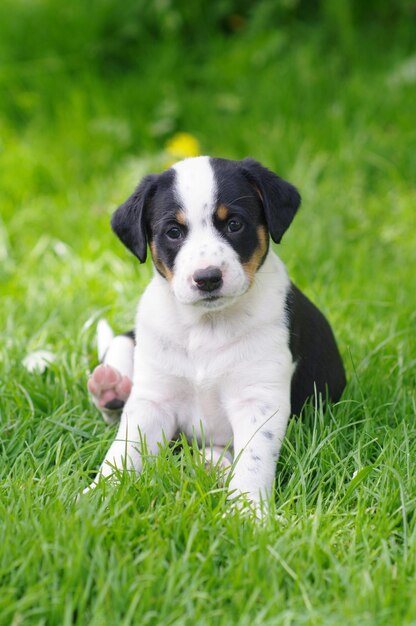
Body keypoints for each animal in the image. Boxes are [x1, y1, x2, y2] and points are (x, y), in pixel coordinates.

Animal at [84, 154, 344, 510]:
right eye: (173, 232)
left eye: (234, 224)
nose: (207, 278)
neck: (206, 326)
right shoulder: (153, 402)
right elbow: (122, 454)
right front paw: (95, 496)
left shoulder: (258, 401)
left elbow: (253, 462)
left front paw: (248, 512)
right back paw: (109, 387)